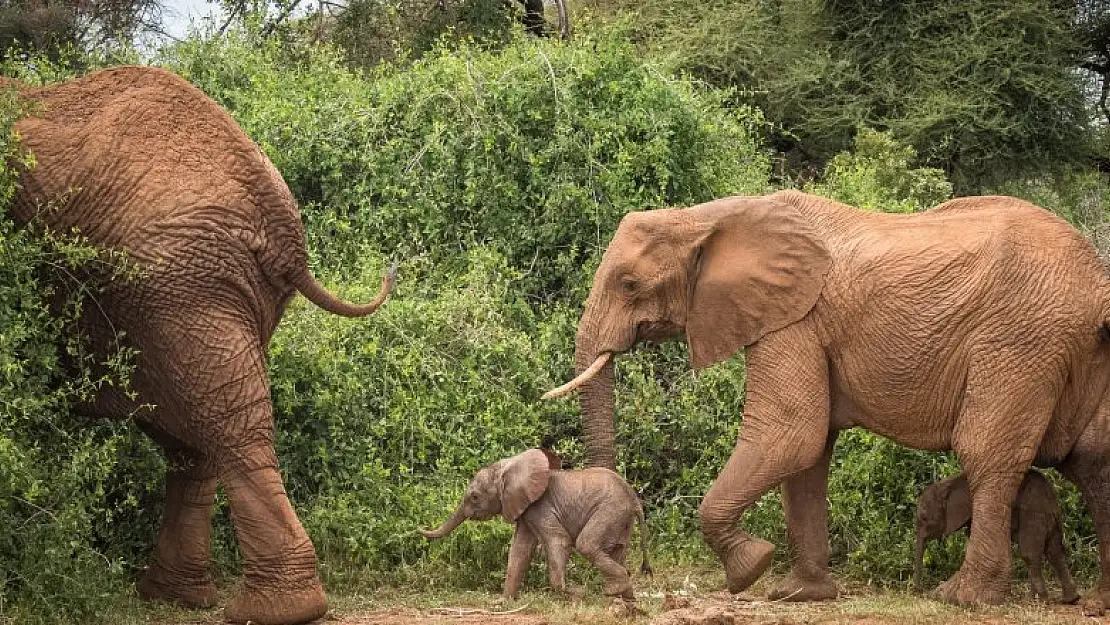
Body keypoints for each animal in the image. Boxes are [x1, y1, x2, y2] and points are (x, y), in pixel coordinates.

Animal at [3, 67, 395, 625]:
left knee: (224, 424)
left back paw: (272, 609)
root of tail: (282, 225)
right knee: (199, 430)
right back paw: (177, 597)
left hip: (179, 285)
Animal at [419, 448, 652, 599]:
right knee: (617, 551)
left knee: (587, 545)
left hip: (609, 510)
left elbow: (559, 541)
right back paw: (625, 597)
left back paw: (613, 591)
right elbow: (519, 549)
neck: (507, 467)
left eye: (475, 497)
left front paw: (575, 593)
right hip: (620, 519)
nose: (417, 529)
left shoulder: (540, 507)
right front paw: (505, 602)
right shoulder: (525, 510)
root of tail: (634, 500)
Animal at [919, 470, 1074, 599]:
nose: (918, 590)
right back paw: (1069, 599)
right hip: (1051, 519)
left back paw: (1039, 599)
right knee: (1055, 552)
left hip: (1033, 516)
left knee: (1030, 554)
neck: (947, 483)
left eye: (924, 518)